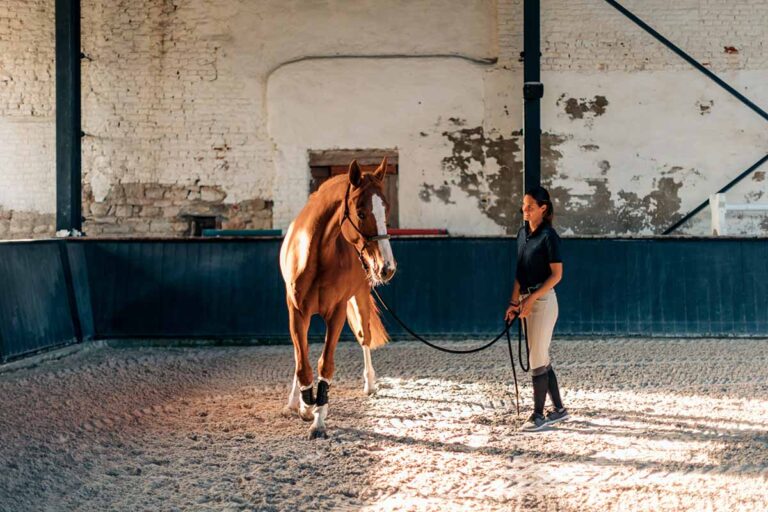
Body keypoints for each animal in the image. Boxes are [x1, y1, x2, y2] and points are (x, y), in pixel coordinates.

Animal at [279, 157, 397, 439]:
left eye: (385, 210)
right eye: (361, 213)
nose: (387, 268)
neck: (315, 254)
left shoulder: (337, 313)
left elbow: (325, 365)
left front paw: (318, 420)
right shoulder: (296, 312)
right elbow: (303, 363)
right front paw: (304, 404)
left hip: (361, 297)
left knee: (365, 336)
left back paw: (370, 384)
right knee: (300, 355)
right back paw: (295, 401)